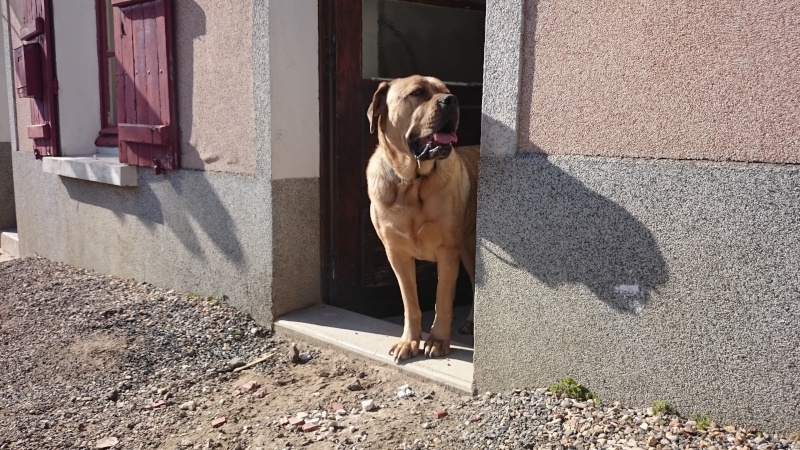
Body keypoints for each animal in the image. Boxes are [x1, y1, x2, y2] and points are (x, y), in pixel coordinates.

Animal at [366, 74, 478, 362]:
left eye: (446, 90)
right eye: (417, 92)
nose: (452, 99)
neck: (411, 183)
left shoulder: (448, 252)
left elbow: (442, 299)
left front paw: (437, 340)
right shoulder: (396, 253)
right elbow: (410, 302)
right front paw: (409, 341)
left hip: (469, 249)